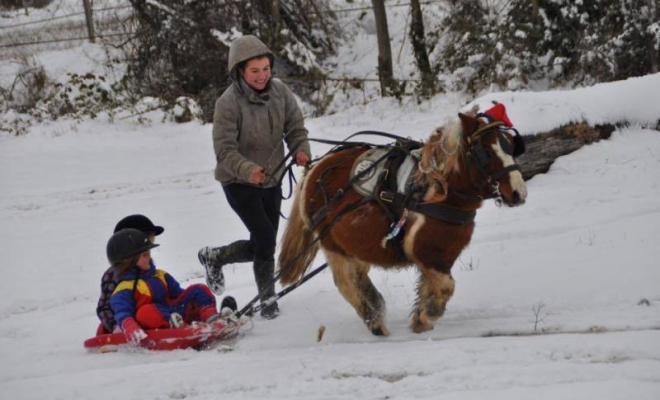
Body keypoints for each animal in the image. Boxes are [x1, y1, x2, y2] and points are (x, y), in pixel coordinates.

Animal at [278, 108, 524, 336]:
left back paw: (375, 309)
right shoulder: (425, 253)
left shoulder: (442, 255)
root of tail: (315, 169)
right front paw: (428, 315)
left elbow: (431, 287)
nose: (518, 193)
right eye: (487, 152)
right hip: (332, 245)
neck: (437, 190)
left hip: (353, 246)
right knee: (346, 282)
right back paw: (375, 321)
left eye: (512, 146)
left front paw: (420, 320)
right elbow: (446, 287)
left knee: (359, 277)